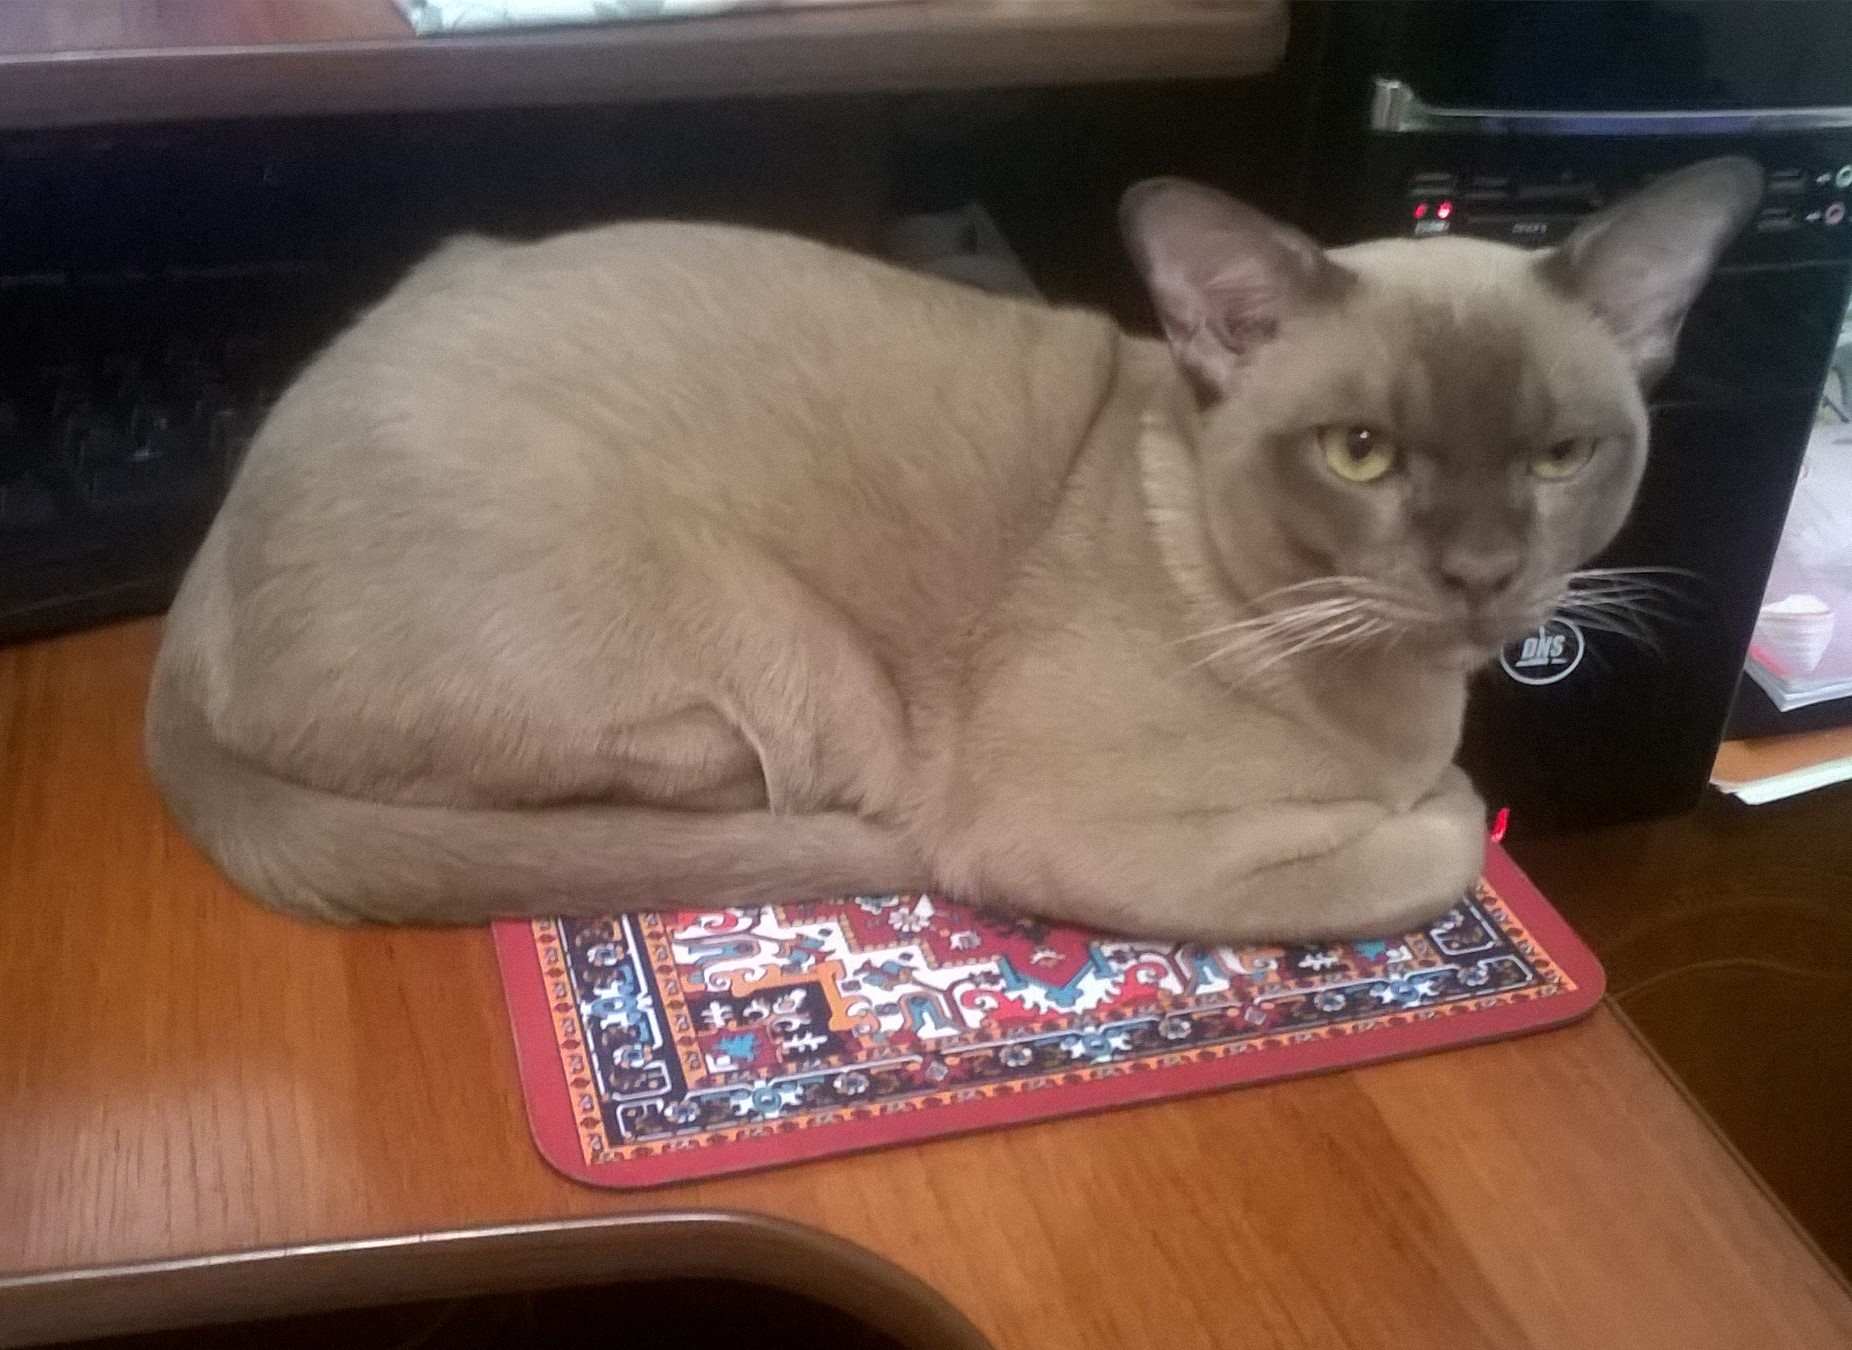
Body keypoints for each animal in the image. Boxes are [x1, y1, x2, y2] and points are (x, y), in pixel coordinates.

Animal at [145, 158, 1760, 942]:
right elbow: (1443, 834)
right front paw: (1447, 802)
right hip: (793, 675)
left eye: (1560, 458)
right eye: (1360, 452)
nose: (1485, 578)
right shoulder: (1086, 834)